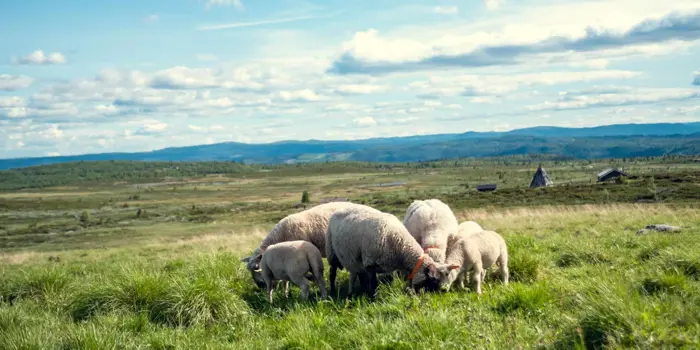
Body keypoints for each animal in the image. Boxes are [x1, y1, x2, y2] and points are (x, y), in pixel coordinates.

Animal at [326, 205, 460, 298]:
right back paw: (332, 291)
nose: (442, 292)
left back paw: (362, 289)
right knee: (332, 273)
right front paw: (373, 298)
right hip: (332, 252)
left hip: (356, 259)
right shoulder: (370, 262)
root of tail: (339, 209)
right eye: (434, 279)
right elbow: (374, 283)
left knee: (359, 272)